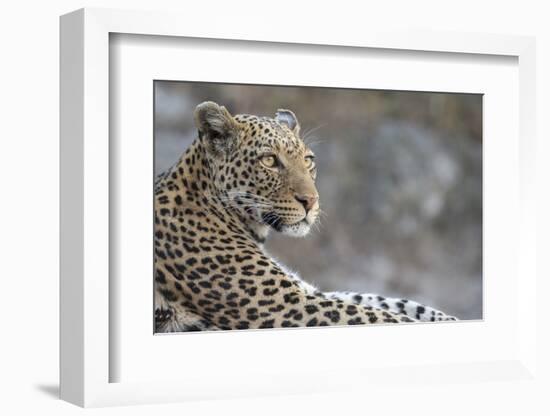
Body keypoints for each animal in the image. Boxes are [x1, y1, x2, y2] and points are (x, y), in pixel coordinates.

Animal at [155, 102, 458, 334]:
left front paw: (448, 318)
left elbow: (385, 301)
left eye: (308, 160)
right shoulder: (289, 306)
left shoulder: (305, 292)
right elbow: (378, 314)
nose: (310, 201)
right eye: (269, 160)